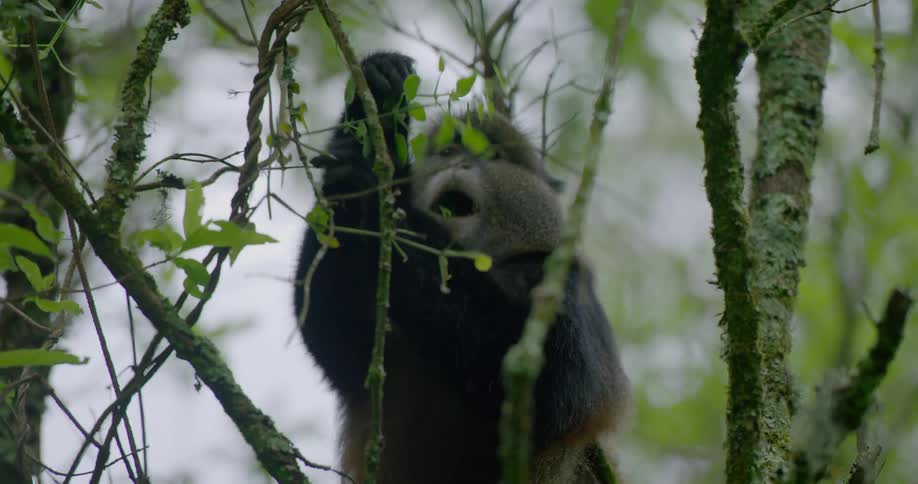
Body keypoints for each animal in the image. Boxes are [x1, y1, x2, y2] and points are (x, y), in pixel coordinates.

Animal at [293, 52, 628, 483]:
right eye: (450, 152)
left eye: (493, 156)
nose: (464, 164)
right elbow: (332, 336)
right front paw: (376, 111)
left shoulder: (563, 282)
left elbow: (546, 389)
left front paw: (383, 183)